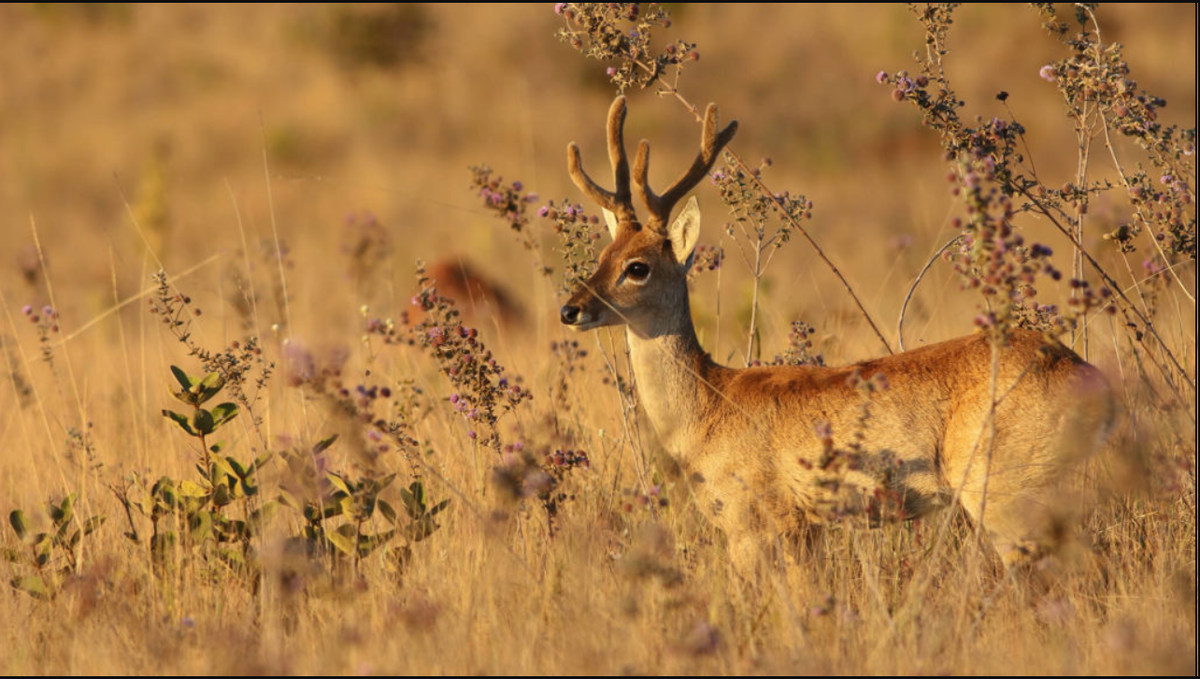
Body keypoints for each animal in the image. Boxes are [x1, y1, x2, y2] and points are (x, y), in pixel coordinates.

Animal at [556, 94, 1108, 575]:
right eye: (601, 256)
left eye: (637, 267)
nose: (570, 309)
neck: (707, 408)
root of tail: (1090, 379)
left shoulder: (763, 518)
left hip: (1004, 486)